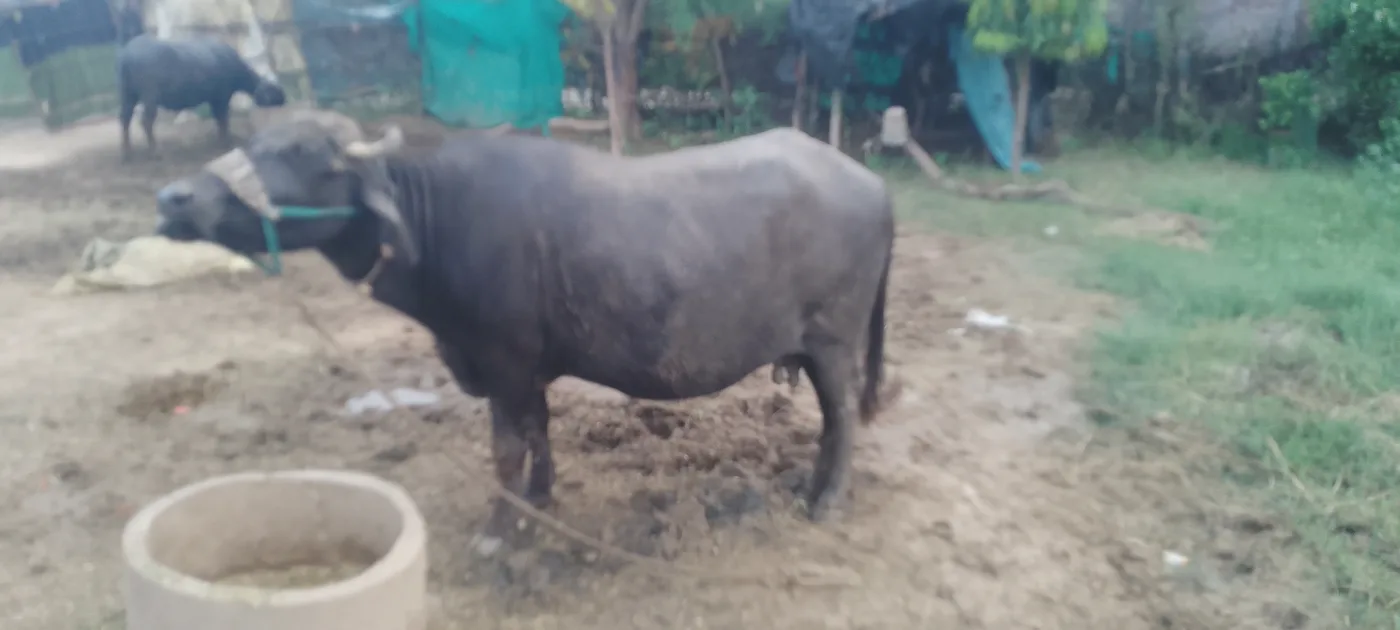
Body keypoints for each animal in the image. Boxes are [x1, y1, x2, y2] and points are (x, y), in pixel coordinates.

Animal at [117, 33, 287, 161]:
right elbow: (223, 117)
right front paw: (226, 141)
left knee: (125, 117)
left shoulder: (213, 98)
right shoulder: (222, 96)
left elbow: (218, 118)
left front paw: (221, 139)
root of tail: (127, 56)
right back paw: (155, 151)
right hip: (150, 95)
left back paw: (127, 153)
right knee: (146, 121)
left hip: (127, 93)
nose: (284, 100)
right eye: (275, 92)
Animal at [153, 115, 895, 555]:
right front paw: (540, 498)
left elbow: (506, 447)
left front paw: (498, 530)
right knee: (834, 420)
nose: (174, 199)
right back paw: (809, 487)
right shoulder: (524, 367)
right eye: (255, 141)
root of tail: (870, 184)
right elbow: (539, 430)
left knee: (842, 416)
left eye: (302, 152)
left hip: (833, 340)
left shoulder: (503, 360)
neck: (437, 223)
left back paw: (827, 500)